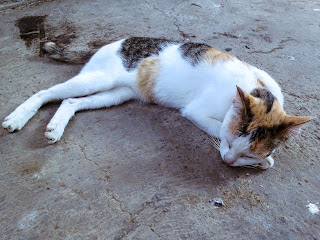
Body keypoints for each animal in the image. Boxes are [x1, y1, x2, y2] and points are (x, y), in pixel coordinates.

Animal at [1, 37, 312, 169]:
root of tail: (112, 42)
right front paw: (264, 160)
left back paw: (55, 127)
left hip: (116, 93)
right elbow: (216, 128)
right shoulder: (196, 112)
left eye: (246, 152)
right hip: (99, 78)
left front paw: (259, 161)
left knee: (69, 102)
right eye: (229, 141)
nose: (227, 161)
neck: (257, 87)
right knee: (45, 93)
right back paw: (18, 117)